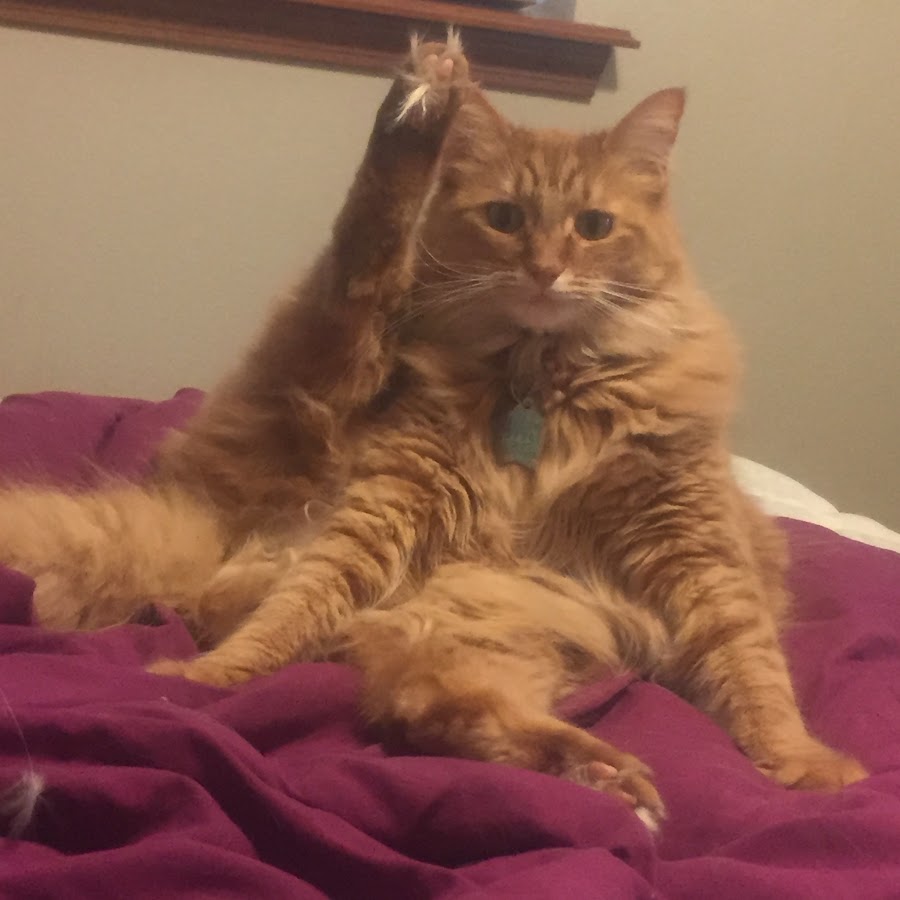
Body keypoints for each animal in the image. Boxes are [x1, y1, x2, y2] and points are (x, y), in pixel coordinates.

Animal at [0, 35, 867, 828]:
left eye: (593, 226)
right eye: (505, 219)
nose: (545, 271)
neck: (544, 381)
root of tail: (219, 541)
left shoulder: (698, 545)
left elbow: (754, 666)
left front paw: (802, 765)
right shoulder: (391, 500)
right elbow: (288, 614)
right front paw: (209, 679)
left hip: (494, 634)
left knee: (430, 710)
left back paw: (600, 774)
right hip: (335, 369)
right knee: (359, 267)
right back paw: (423, 102)